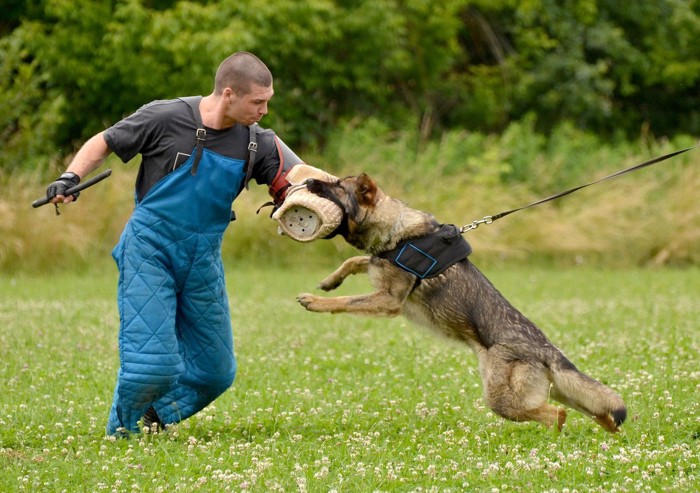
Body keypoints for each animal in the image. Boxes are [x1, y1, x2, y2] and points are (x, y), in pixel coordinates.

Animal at [298, 172, 628, 430]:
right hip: (560, 392)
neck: (397, 230)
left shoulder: (389, 301)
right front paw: (329, 282)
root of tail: (548, 351)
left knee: (556, 416)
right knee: (596, 410)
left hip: (502, 399)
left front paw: (315, 301)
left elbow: (345, 300)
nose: (309, 180)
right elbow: (354, 261)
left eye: (337, 186)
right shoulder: (378, 270)